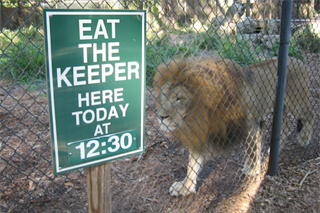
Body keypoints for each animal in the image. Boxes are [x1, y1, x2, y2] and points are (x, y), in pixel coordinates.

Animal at [154, 55, 316, 196]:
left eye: (179, 98)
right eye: (164, 95)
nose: (160, 117)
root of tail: (298, 60)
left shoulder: (249, 124)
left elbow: (252, 148)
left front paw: (252, 169)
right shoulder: (202, 133)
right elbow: (192, 164)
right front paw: (185, 187)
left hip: (297, 102)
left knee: (310, 116)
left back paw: (304, 139)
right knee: (286, 127)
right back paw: (274, 148)